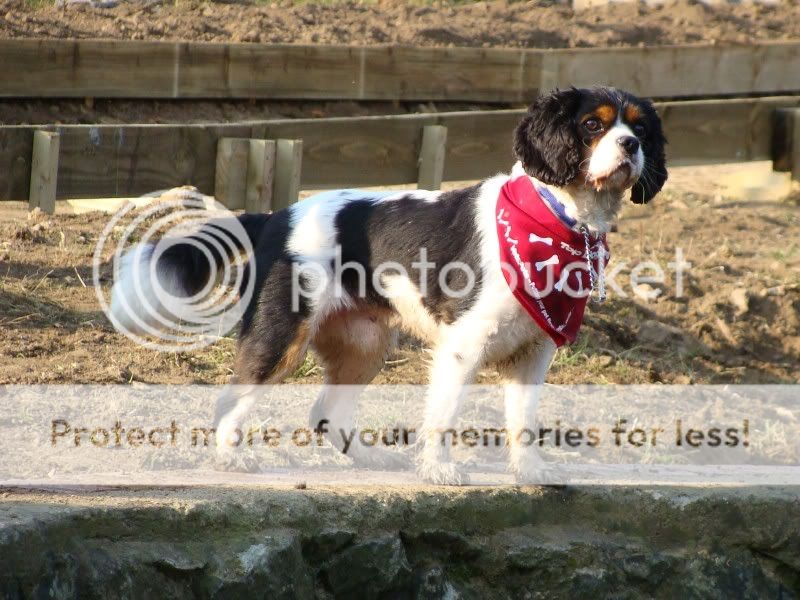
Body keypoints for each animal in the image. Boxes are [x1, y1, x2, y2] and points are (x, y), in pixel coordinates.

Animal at [109, 86, 664, 486]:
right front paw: (439, 470)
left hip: (366, 344)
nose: (631, 145)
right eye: (592, 125)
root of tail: (276, 215)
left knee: (327, 412)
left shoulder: (534, 351)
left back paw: (373, 459)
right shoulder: (463, 346)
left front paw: (530, 474)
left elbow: (523, 421)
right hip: (281, 335)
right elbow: (444, 413)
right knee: (231, 398)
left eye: (639, 127)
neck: (559, 217)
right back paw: (232, 458)